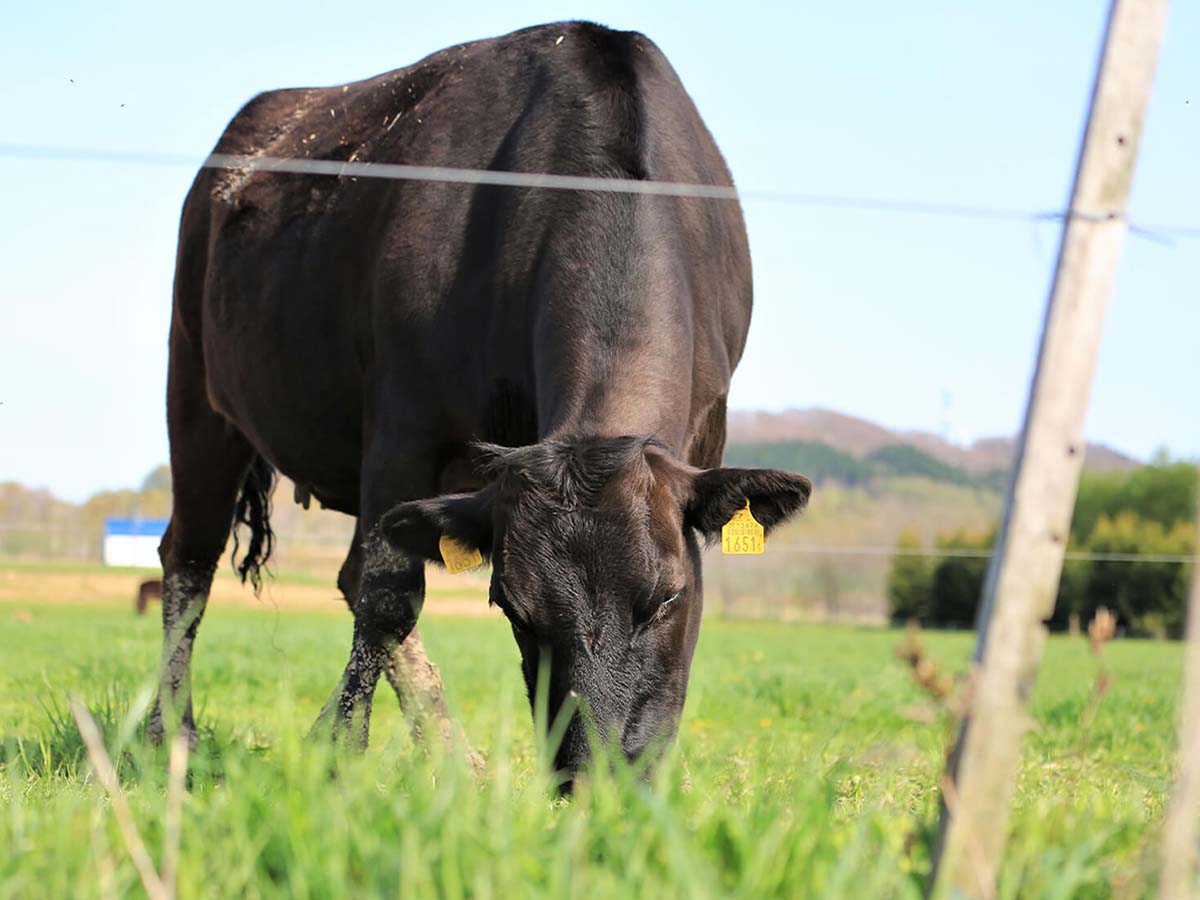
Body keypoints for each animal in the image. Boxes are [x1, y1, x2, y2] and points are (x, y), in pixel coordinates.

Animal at [150, 17, 806, 787]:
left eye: (669, 594)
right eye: (513, 609)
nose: (598, 780)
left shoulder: (709, 427)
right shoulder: (404, 425)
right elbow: (387, 598)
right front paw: (339, 756)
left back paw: (457, 763)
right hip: (196, 389)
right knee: (191, 561)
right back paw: (170, 737)